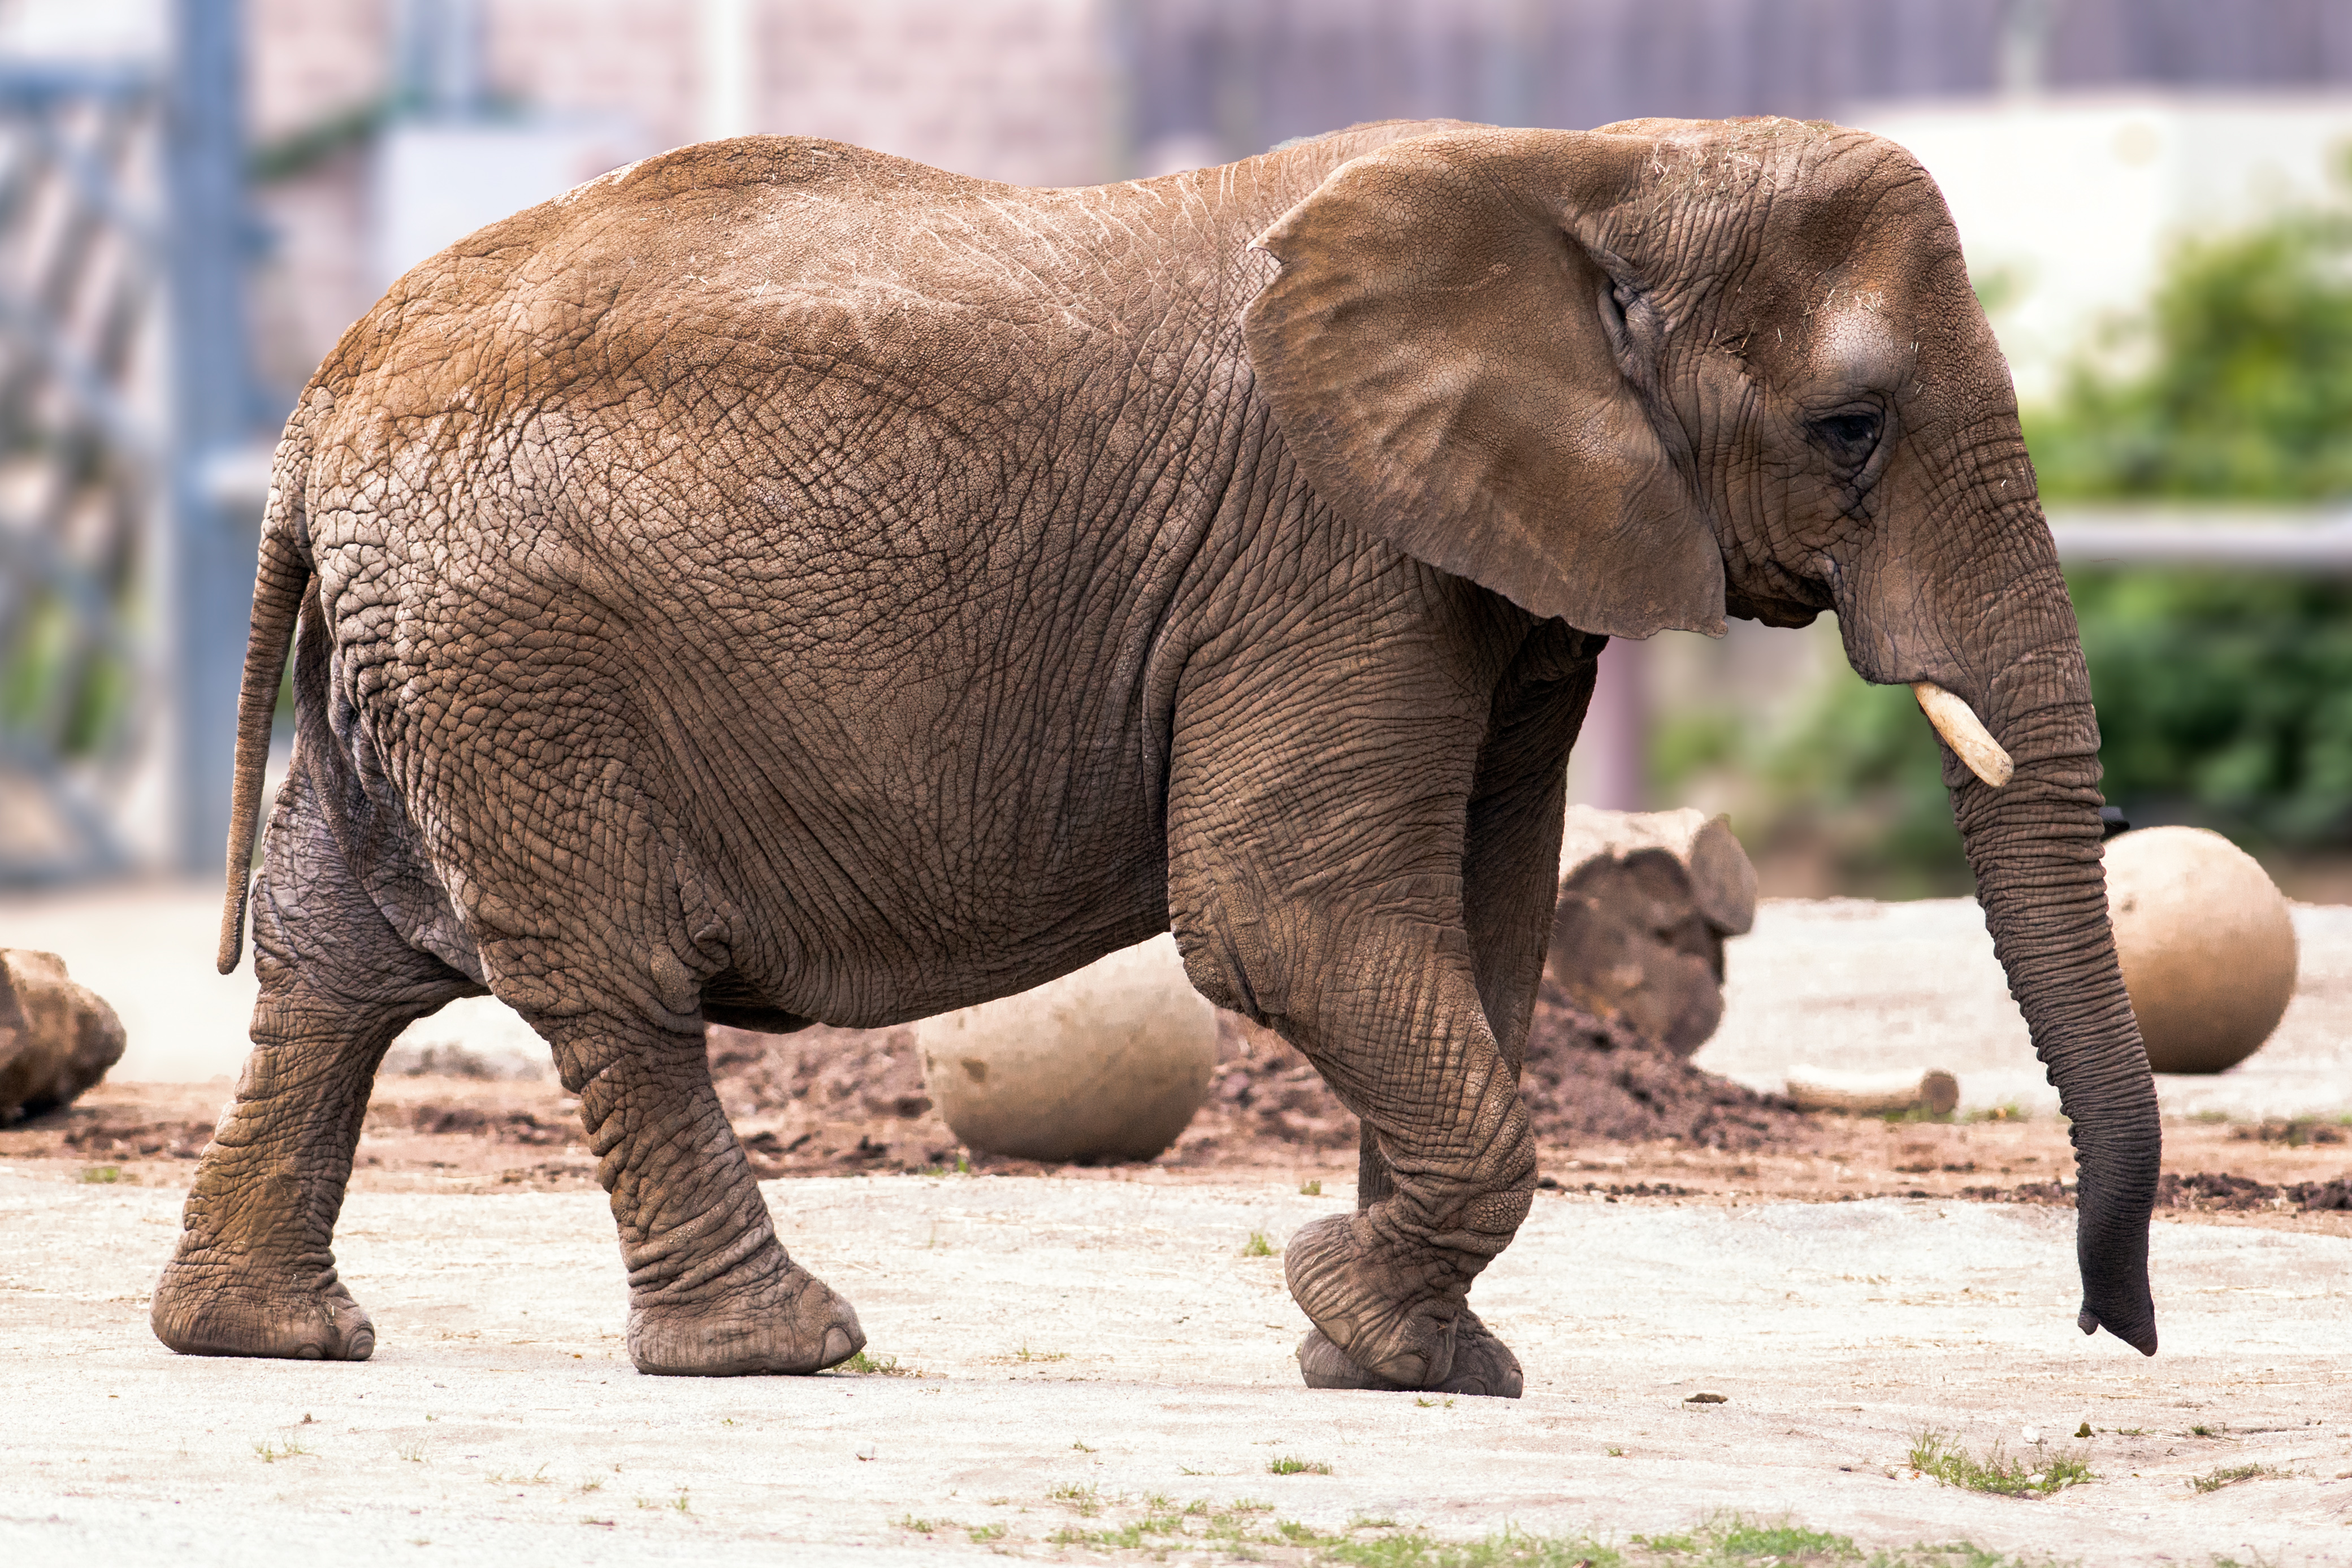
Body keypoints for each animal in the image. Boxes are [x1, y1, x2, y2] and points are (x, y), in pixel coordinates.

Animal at [156, 120, 2154, 1401]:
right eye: (1852, 425)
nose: (2115, 1332)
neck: (1596, 163)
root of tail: (315, 408)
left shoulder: (1497, 576)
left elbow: (1479, 926)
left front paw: (1401, 1360)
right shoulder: (1327, 553)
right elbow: (1285, 917)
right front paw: (1359, 1319)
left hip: (425, 654)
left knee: (338, 965)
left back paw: (263, 1340)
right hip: (520, 659)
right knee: (611, 986)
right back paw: (783, 1349)